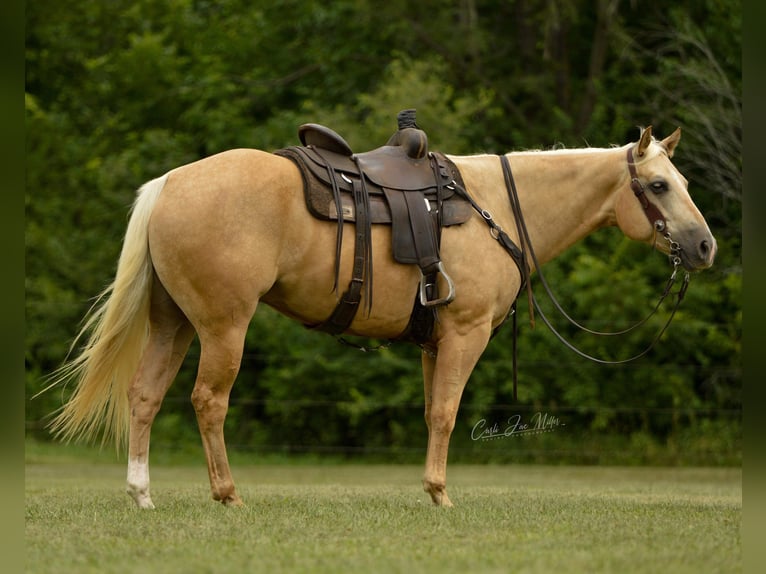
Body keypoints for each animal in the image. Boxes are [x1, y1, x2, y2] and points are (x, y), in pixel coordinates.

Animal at [48, 125, 716, 508]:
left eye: (681, 179)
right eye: (658, 186)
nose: (705, 246)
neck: (496, 209)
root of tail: (169, 184)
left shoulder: (433, 341)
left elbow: (430, 413)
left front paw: (431, 491)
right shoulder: (466, 334)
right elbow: (447, 414)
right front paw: (441, 496)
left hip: (174, 323)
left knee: (144, 396)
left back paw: (142, 496)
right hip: (222, 328)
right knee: (208, 402)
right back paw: (228, 495)